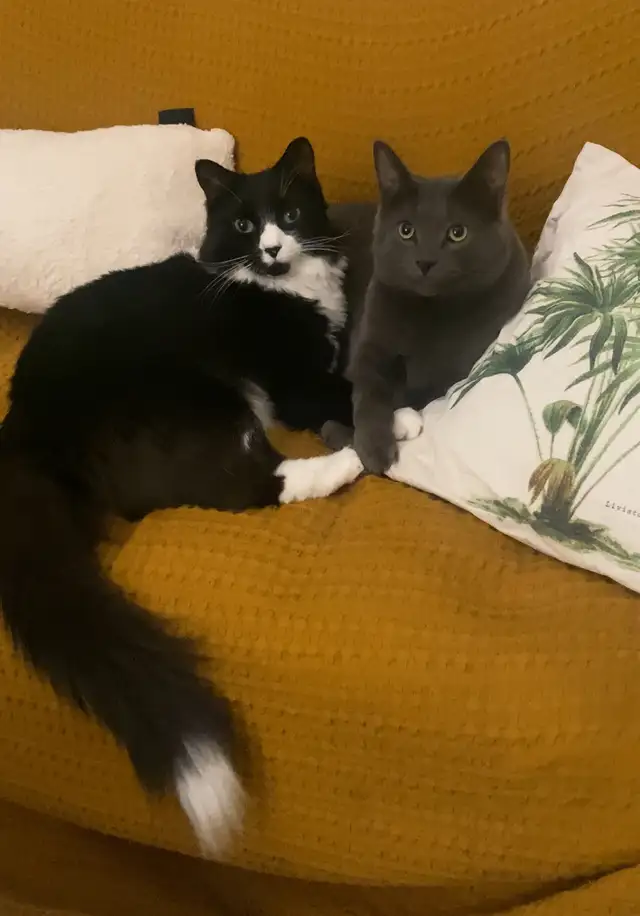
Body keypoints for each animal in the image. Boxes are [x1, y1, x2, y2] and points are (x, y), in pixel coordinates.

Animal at [0, 137, 370, 856]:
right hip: (198, 401)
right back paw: (352, 459)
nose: (273, 248)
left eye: (290, 212)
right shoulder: (298, 384)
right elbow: (353, 393)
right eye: (245, 225)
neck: (278, 286)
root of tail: (24, 425)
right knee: (247, 484)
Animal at [329, 139, 530, 474]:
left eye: (457, 232)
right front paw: (374, 448)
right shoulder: (369, 341)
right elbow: (369, 389)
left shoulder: (461, 364)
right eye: (406, 230)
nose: (425, 261)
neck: (432, 311)